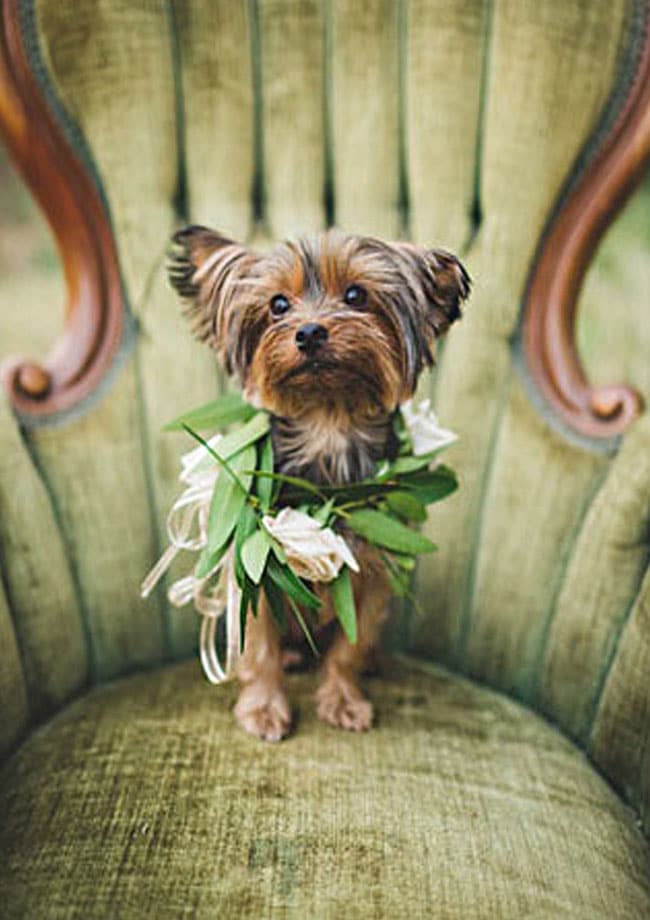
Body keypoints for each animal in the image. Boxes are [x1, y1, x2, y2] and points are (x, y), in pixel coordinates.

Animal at [168, 230, 466, 740]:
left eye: (356, 295)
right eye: (278, 305)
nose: (309, 333)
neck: (327, 420)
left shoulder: (372, 574)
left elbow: (349, 645)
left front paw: (344, 700)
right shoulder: (258, 570)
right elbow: (259, 648)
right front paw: (263, 708)